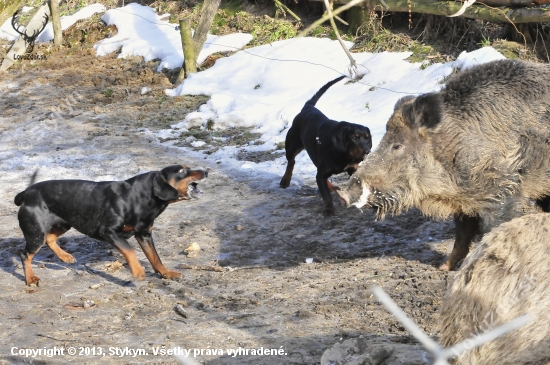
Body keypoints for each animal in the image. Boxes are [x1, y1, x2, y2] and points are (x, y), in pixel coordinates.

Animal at [15, 164, 209, 284]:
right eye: (183, 171)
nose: (206, 171)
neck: (139, 197)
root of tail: (26, 193)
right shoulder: (109, 232)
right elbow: (130, 251)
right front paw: (138, 272)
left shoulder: (144, 234)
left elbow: (155, 257)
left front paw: (167, 273)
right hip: (35, 233)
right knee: (25, 254)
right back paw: (30, 278)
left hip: (63, 224)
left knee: (50, 239)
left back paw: (65, 257)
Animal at [280, 75, 376, 215]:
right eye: (354, 137)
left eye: (368, 138)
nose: (367, 151)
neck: (344, 155)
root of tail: (307, 107)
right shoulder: (321, 173)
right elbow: (325, 194)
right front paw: (329, 209)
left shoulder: (353, 168)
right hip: (292, 144)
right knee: (291, 161)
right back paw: (285, 180)